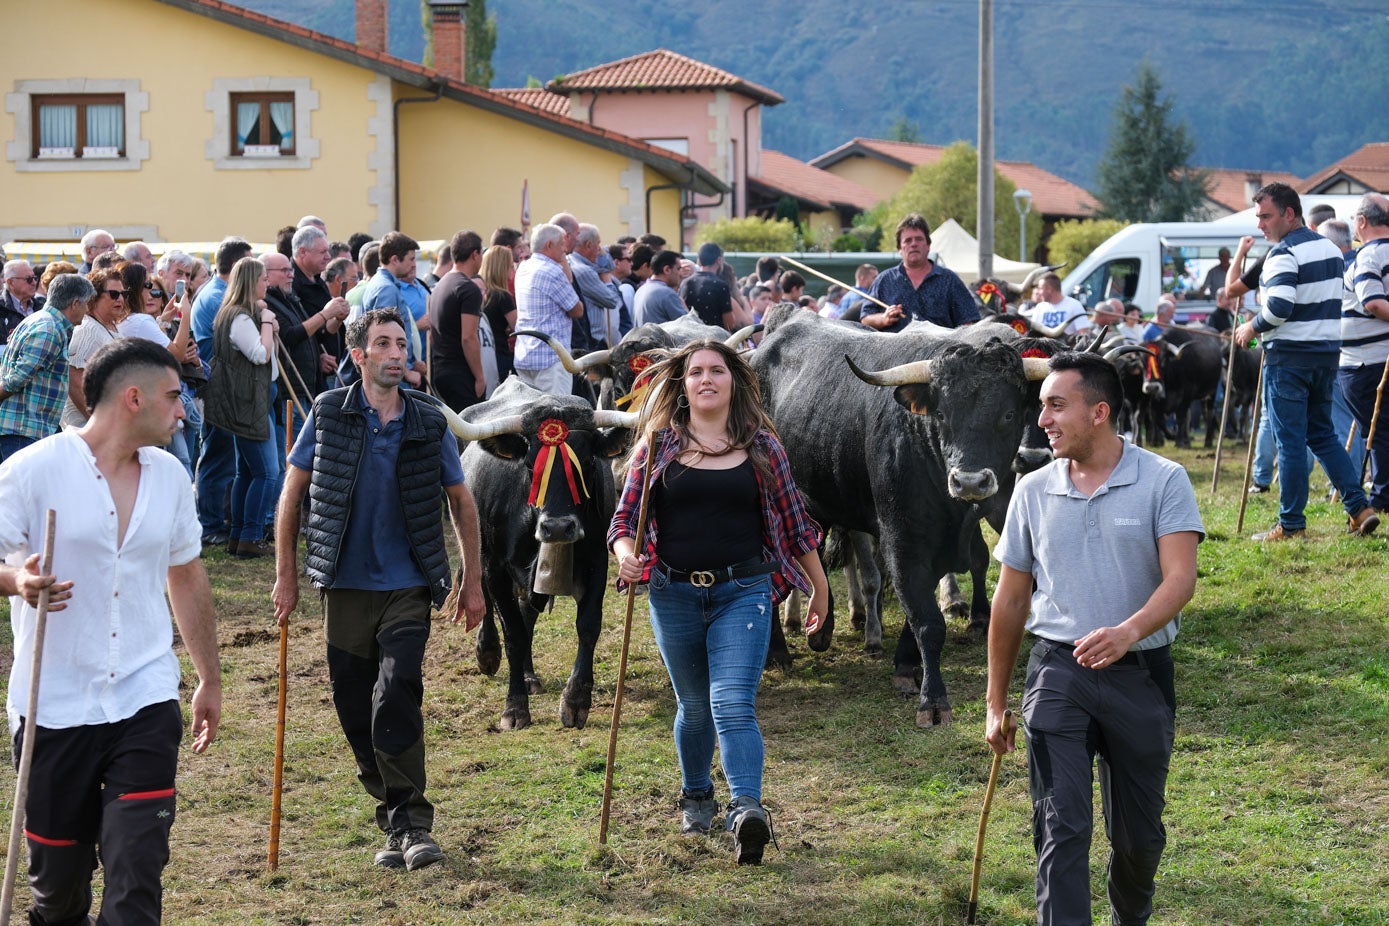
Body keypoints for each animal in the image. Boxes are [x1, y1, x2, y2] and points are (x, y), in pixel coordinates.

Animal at [450, 377, 636, 733]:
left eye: (587, 463)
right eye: (529, 465)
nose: (558, 528)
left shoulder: (596, 561)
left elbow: (587, 625)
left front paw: (575, 701)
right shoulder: (495, 567)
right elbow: (513, 633)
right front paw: (514, 708)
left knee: (529, 612)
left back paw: (528, 674)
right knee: (483, 597)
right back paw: (488, 652)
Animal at [750, 308, 1044, 727]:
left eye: (1008, 414)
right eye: (941, 414)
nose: (970, 481)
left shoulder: (938, 548)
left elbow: (917, 611)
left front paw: (906, 665)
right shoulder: (902, 540)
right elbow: (928, 621)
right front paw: (932, 702)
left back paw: (820, 630)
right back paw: (777, 651)